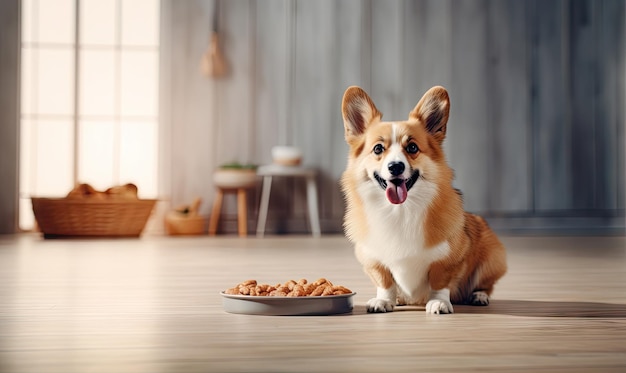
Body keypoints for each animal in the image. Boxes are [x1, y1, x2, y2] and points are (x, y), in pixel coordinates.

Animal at [338, 85, 504, 312]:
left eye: (412, 148)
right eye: (378, 149)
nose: (396, 166)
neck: (399, 212)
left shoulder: (448, 259)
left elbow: (440, 281)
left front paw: (439, 302)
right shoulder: (373, 259)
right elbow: (385, 281)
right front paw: (384, 300)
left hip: (491, 258)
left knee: (486, 284)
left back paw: (479, 296)